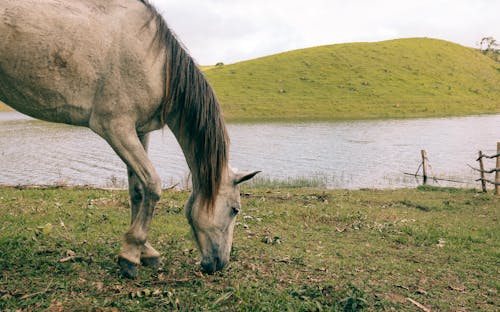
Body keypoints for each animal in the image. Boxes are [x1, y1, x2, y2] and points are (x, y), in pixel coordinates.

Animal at [0, 0, 258, 278]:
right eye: (235, 209)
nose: (220, 264)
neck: (157, 64)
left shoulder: (139, 132)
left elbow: (137, 190)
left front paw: (145, 252)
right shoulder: (116, 129)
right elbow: (153, 186)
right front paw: (131, 255)